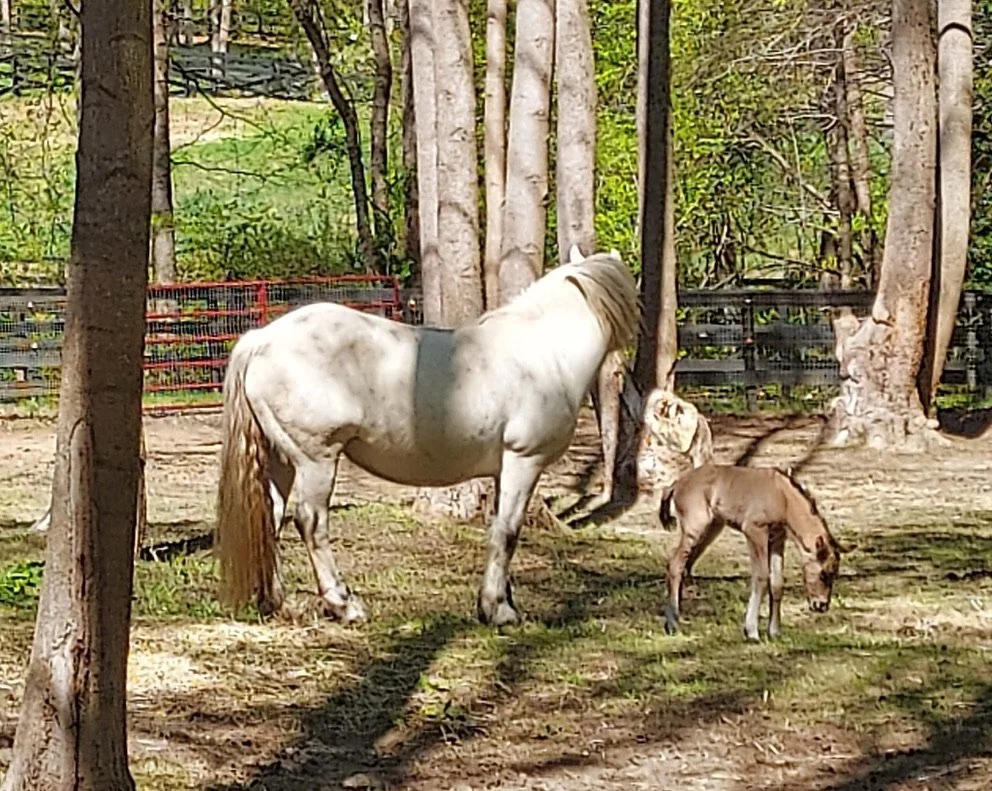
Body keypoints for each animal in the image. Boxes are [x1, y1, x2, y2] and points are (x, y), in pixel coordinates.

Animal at [215, 247, 640, 626]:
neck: (544, 353)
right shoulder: (524, 461)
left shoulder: (503, 470)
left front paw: (498, 604)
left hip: (280, 462)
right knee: (310, 521)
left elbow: (498, 529)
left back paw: (278, 604)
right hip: (314, 461)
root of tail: (262, 339)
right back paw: (344, 605)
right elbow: (508, 532)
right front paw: (500, 612)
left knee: (270, 518)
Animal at [658, 463, 844, 641]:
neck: (782, 496)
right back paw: (673, 625)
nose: (821, 605)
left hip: (712, 528)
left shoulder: (777, 539)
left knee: (684, 566)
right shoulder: (755, 531)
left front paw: (774, 632)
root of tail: (677, 484)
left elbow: (777, 582)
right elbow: (761, 577)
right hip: (695, 530)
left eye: (834, 573)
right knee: (675, 565)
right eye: (823, 574)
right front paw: (752, 631)